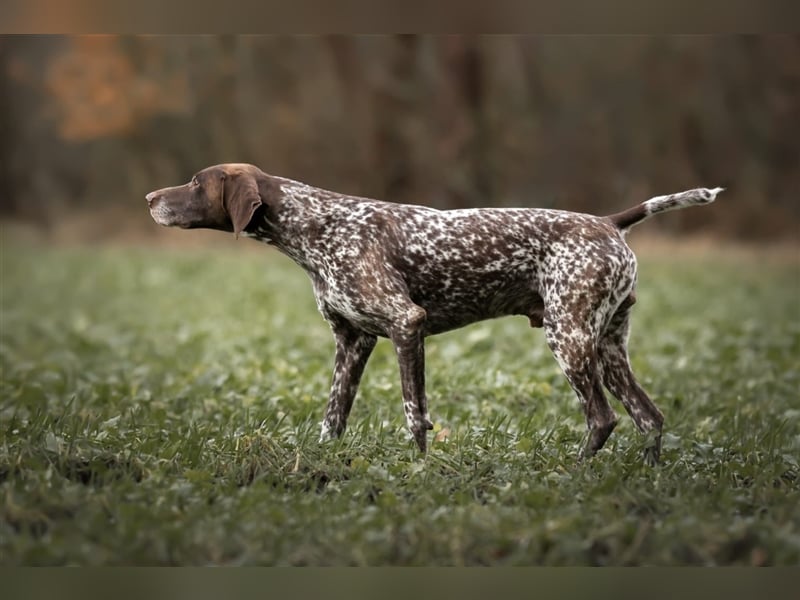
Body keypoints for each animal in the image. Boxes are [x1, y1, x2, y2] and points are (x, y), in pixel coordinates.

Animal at [147, 162, 720, 462]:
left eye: (196, 182)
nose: (151, 197)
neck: (316, 226)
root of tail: (608, 222)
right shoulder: (352, 342)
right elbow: (334, 417)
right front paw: (322, 468)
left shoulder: (406, 325)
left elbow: (413, 414)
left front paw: (418, 472)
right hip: (607, 346)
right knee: (648, 417)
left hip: (570, 339)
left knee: (603, 418)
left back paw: (577, 474)